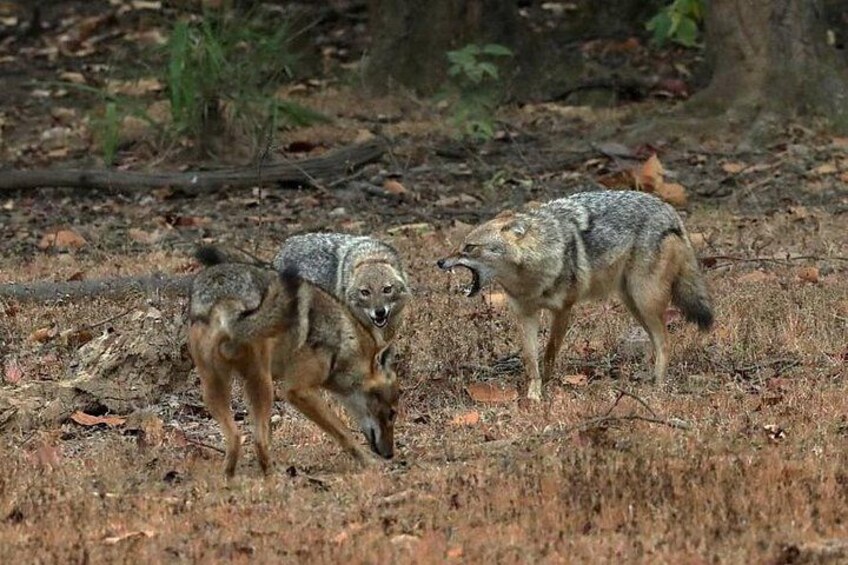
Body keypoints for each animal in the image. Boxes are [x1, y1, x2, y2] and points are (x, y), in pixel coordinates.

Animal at [188, 247, 399, 477]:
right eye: (392, 414)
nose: (390, 455)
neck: (342, 341)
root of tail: (223, 299)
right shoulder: (298, 391)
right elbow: (343, 433)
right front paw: (369, 463)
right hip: (262, 385)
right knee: (257, 441)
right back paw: (276, 476)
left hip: (215, 389)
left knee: (236, 438)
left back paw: (231, 478)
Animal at [437, 190, 713, 400]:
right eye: (460, 245)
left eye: (469, 248)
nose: (439, 262)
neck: (530, 275)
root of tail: (669, 210)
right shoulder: (525, 314)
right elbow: (530, 360)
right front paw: (533, 395)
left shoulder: (563, 309)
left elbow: (549, 353)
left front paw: (548, 386)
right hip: (633, 304)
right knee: (656, 341)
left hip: (645, 301)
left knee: (665, 341)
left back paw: (657, 387)